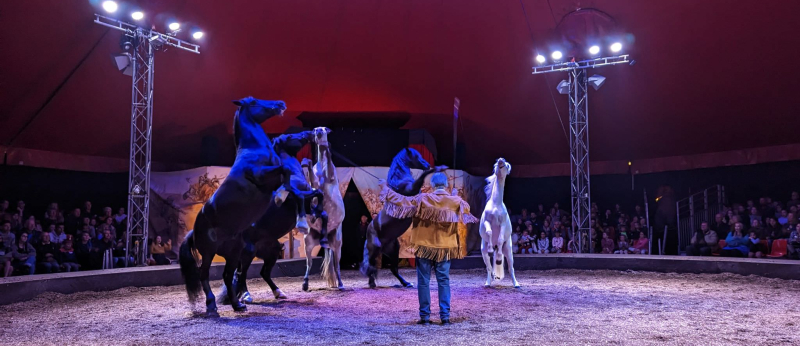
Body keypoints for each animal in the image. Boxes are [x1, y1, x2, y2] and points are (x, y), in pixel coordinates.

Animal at [180, 95, 286, 316]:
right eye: (254, 102)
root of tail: (193, 231)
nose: (280, 104)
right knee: (204, 275)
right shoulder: (262, 176)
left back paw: (238, 305)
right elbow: (285, 168)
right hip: (209, 252)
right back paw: (212, 306)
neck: (253, 151)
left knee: (229, 276)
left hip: (233, 252)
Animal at [300, 125, 344, 290]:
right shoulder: (314, 184)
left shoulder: (330, 177)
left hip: (337, 245)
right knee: (309, 263)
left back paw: (340, 284)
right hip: (308, 242)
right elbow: (311, 177)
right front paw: (305, 162)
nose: (319, 132)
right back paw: (305, 283)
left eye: (325, 129)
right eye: (315, 129)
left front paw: (327, 148)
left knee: (337, 265)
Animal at [360, 147, 446, 288]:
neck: (400, 182)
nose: (427, 164)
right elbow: (422, 178)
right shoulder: (412, 190)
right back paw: (372, 283)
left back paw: (406, 283)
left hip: (394, 250)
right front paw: (438, 168)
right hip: (375, 249)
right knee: (370, 266)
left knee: (392, 269)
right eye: (417, 156)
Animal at [478, 158, 520, 288]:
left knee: (511, 268)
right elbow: (489, 231)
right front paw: (491, 250)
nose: (501, 160)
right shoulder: (487, 221)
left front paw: (499, 259)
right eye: (497, 163)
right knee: (489, 268)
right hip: (483, 252)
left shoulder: (502, 225)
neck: (496, 204)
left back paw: (516, 284)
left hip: (509, 251)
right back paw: (488, 283)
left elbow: (500, 238)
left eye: (506, 165)